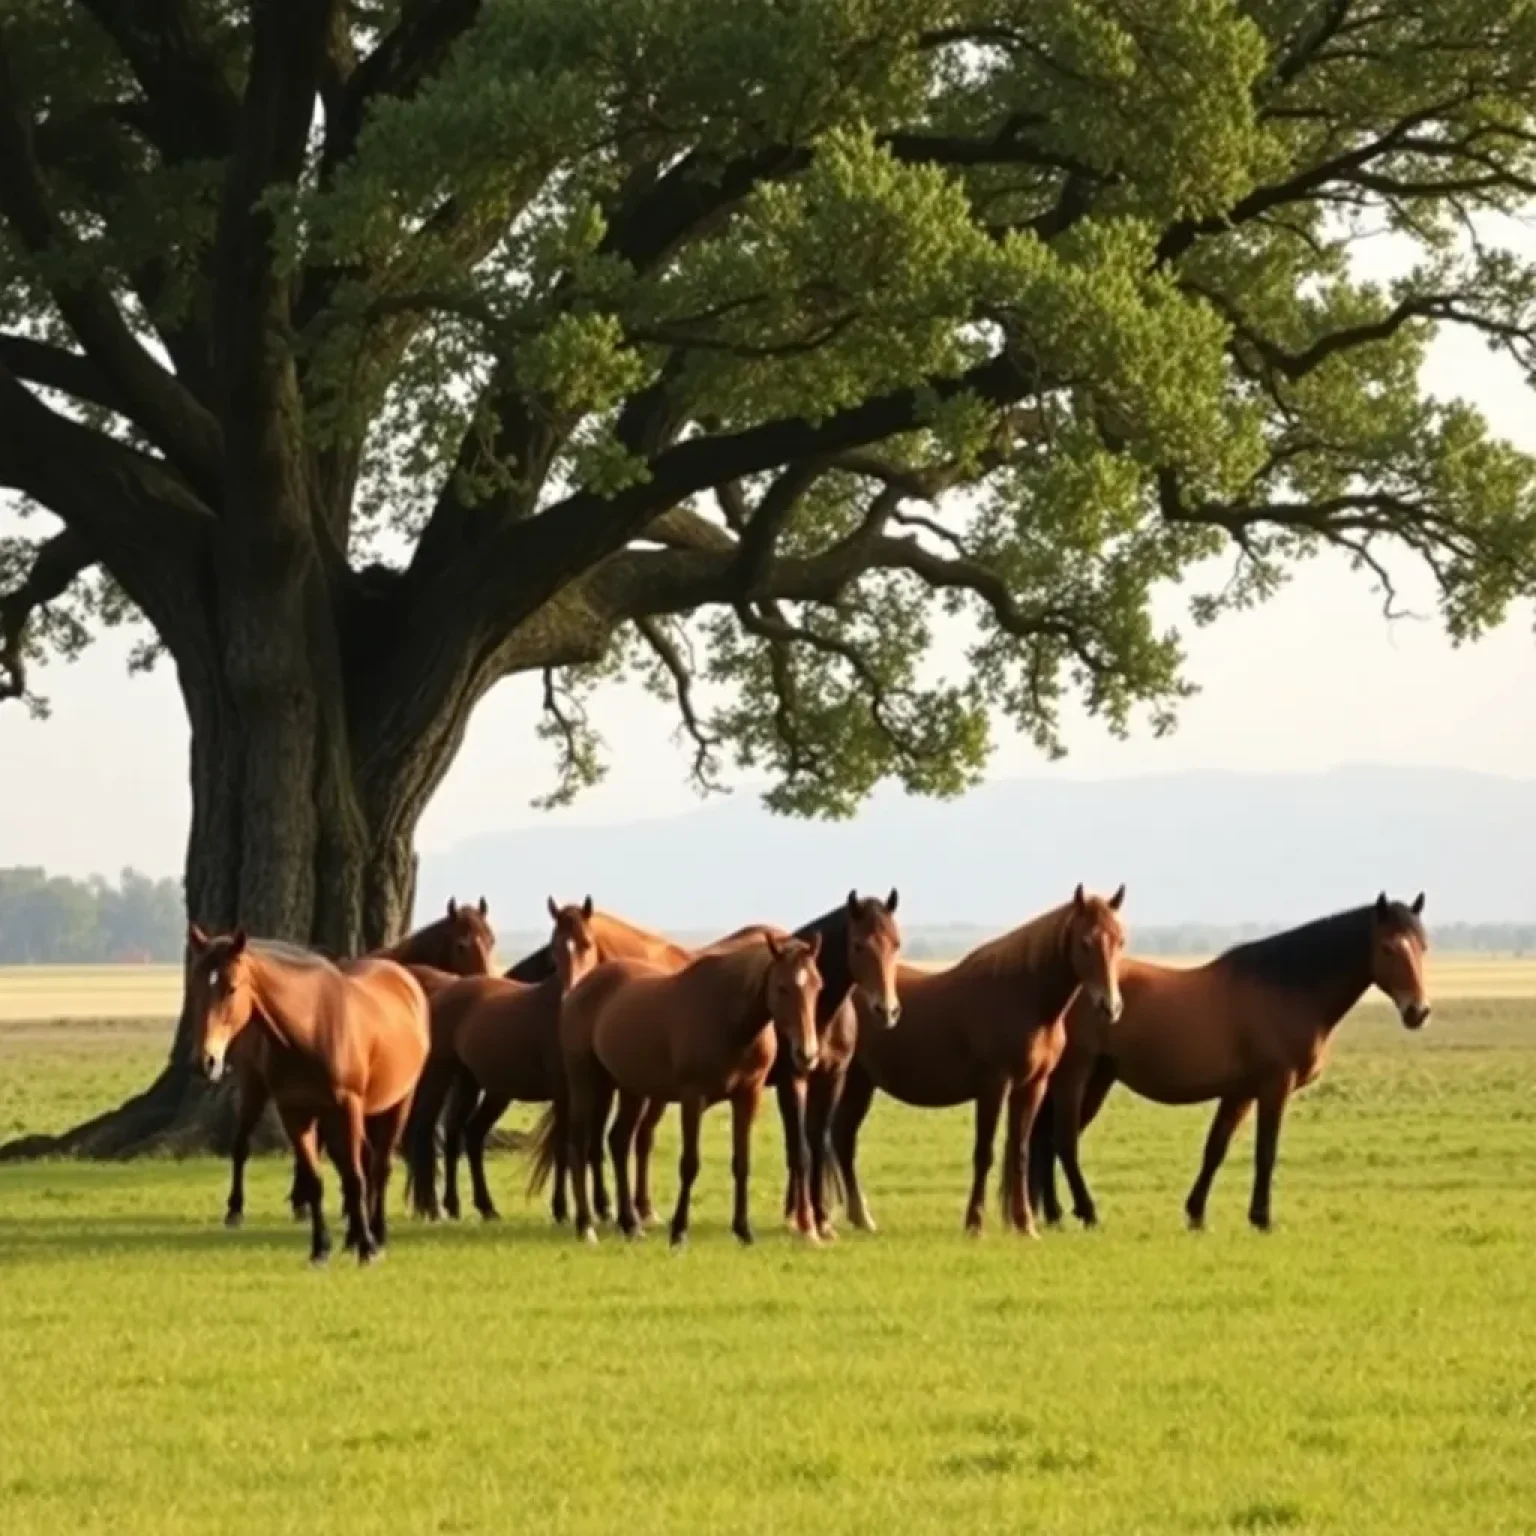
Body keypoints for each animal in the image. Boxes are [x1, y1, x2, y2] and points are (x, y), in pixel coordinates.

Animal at [185, 927, 430, 1265]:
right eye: (194, 988)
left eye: (231, 988)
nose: (205, 1061)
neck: (312, 1029)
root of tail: (404, 980)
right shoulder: (296, 1113)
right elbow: (316, 1180)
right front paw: (321, 1248)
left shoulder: (346, 1107)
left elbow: (354, 1177)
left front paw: (367, 1250)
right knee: (365, 1163)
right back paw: (353, 1237)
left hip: (396, 1104)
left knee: (379, 1168)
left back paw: (376, 1236)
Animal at [222, 897, 494, 1228]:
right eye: (461, 945)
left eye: (491, 941)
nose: (486, 985)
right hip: (254, 1085)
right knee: (241, 1143)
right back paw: (236, 1208)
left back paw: (303, 1201)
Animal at [543, 927, 823, 1241]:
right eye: (782, 987)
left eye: (818, 986)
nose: (807, 1054)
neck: (726, 1016)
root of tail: (577, 989)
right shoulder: (693, 1099)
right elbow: (689, 1164)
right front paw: (679, 1231)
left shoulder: (747, 1097)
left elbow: (742, 1163)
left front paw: (743, 1231)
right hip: (585, 1081)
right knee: (578, 1143)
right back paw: (586, 1226)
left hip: (628, 1089)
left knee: (618, 1141)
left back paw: (630, 1224)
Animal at [829, 890, 1130, 1234]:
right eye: (1085, 942)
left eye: (1120, 940)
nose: (1111, 1007)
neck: (1024, 999)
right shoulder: (993, 1087)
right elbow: (984, 1153)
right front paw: (975, 1223)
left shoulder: (1032, 1087)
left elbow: (1019, 1152)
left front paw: (1025, 1224)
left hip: (860, 1085)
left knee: (842, 1140)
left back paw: (860, 1217)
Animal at [1026, 897, 1431, 1228]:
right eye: (1388, 948)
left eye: (1423, 946)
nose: (1419, 1011)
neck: (1286, 991)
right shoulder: (1274, 1087)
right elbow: (1265, 1152)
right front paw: (1262, 1218)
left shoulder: (1240, 1093)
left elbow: (1215, 1150)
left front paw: (1196, 1215)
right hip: (1074, 1075)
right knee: (1062, 1140)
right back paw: (1085, 1212)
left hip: (1098, 1079)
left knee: (1046, 1140)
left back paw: (1051, 1214)